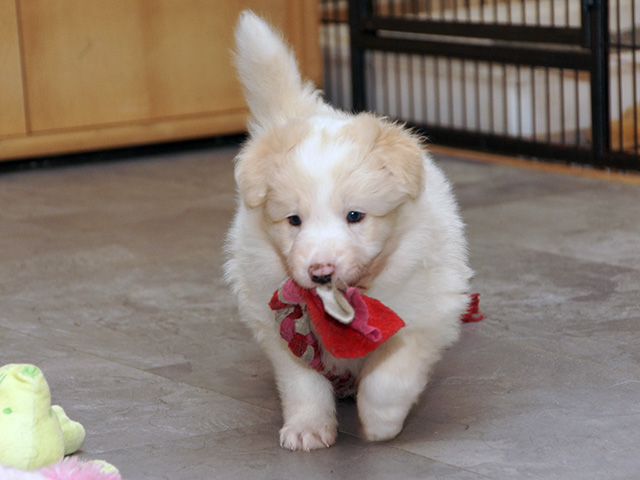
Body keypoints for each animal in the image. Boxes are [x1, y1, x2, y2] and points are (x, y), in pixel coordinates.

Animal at [224, 11, 472, 451]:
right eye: (294, 220)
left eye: (355, 216)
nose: (320, 272)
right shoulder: (281, 326)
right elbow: (303, 382)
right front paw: (308, 427)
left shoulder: (425, 313)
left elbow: (390, 378)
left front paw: (380, 423)